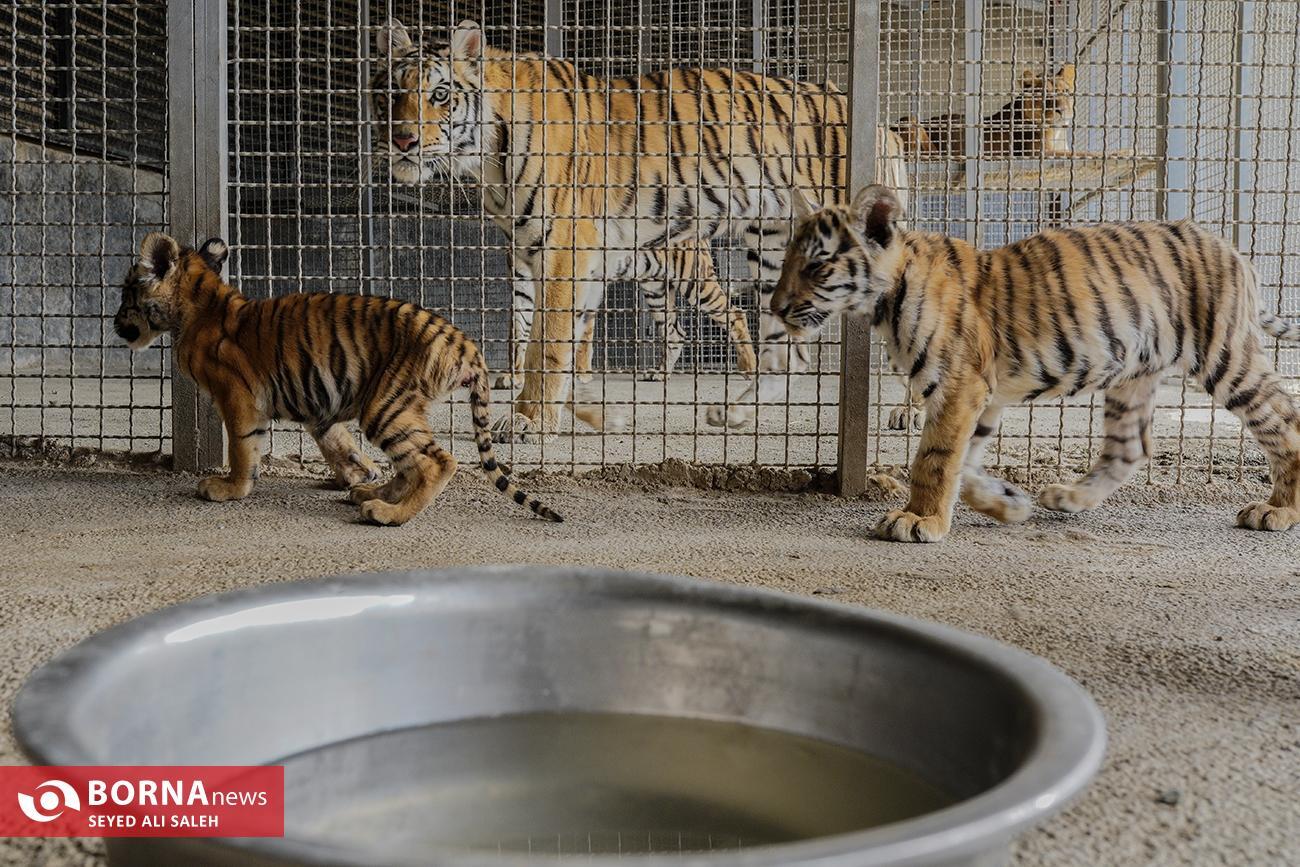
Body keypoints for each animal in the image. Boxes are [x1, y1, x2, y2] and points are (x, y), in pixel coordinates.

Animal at [118, 233, 569, 525]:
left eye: (126, 295)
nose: (115, 323)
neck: (200, 302)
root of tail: (466, 345)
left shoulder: (238, 398)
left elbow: (244, 449)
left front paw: (229, 488)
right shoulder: (316, 402)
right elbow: (337, 442)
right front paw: (360, 473)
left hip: (386, 405)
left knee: (438, 461)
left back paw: (388, 513)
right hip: (396, 404)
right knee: (412, 462)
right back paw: (371, 493)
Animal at [371, 18, 909, 441]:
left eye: (440, 95)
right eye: (389, 94)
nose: (402, 140)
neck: (486, 159)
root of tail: (883, 126)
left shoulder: (564, 249)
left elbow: (550, 343)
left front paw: (529, 421)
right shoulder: (536, 255)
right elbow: (543, 334)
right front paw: (577, 411)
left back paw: (905, 414)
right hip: (773, 252)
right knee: (782, 352)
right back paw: (738, 412)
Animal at [769, 185, 1300, 543]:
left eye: (816, 266)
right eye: (787, 261)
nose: (774, 308)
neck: (885, 297)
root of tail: (1233, 250)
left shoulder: (958, 386)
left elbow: (934, 458)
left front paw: (917, 519)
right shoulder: (981, 396)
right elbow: (964, 465)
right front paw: (1008, 506)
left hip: (1224, 357)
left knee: (1283, 419)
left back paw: (1277, 511)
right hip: (1134, 376)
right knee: (1130, 448)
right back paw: (1067, 498)